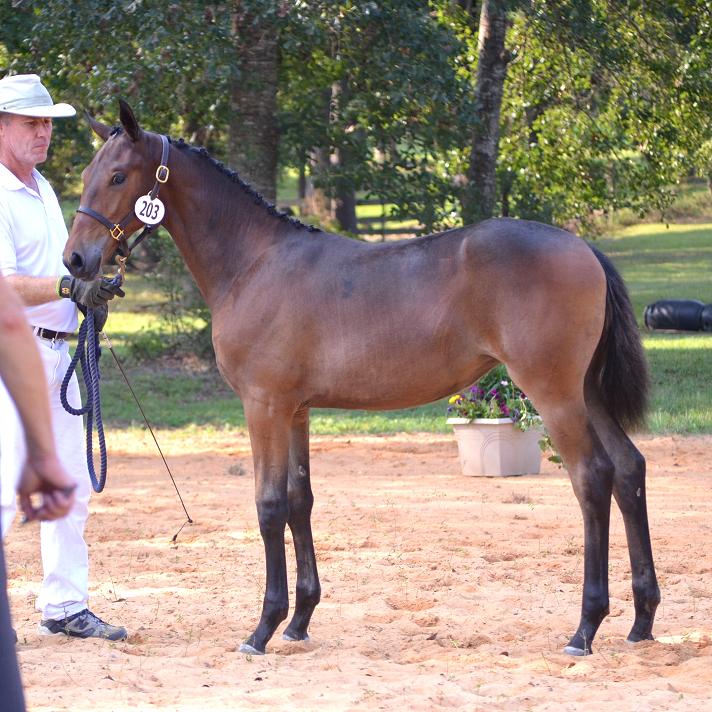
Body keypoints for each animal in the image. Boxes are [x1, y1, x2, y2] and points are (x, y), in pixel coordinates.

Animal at [64, 100, 660, 656]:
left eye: (119, 176)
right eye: (89, 172)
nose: (76, 261)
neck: (254, 263)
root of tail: (582, 247)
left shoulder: (264, 405)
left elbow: (269, 506)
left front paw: (263, 627)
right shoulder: (297, 410)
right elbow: (300, 500)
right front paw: (299, 621)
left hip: (554, 395)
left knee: (592, 478)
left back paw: (585, 628)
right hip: (587, 394)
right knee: (629, 469)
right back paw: (641, 620)